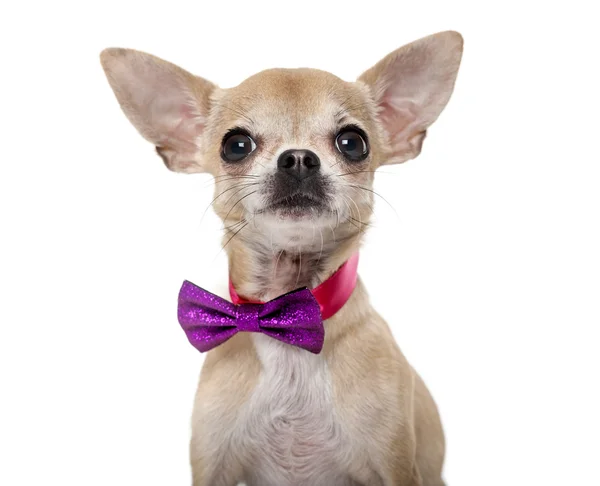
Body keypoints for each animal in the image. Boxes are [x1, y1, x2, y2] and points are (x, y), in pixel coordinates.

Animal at [99, 31, 464, 486]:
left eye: (353, 142)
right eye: (236, 145)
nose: (299, 158)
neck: (284, 317)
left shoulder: (396, 467)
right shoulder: (211, 467)